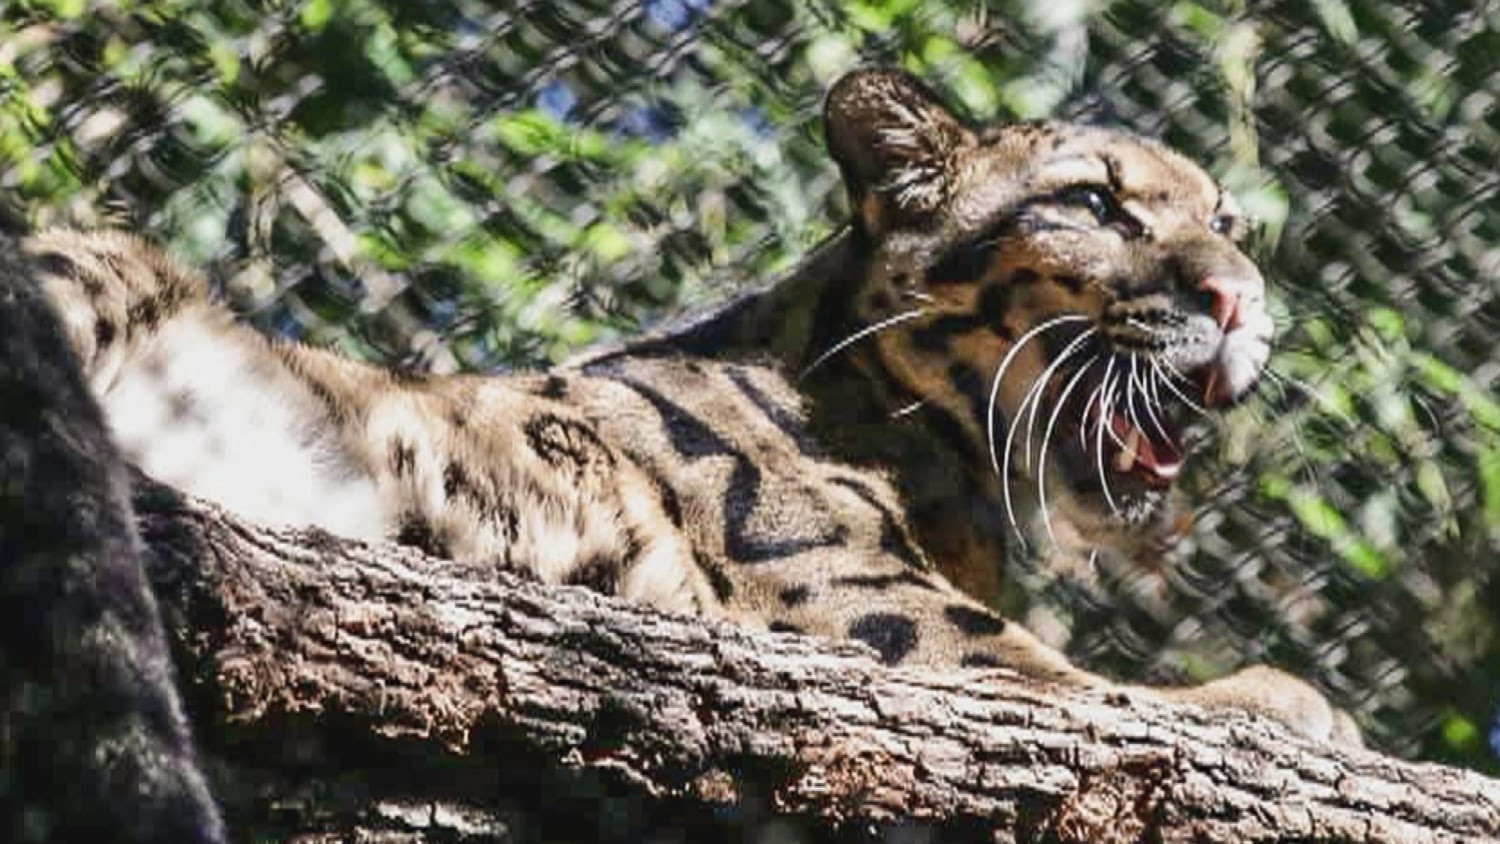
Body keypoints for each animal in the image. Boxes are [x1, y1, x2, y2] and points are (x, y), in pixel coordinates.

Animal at [20, 67, 1357, 745]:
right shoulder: (872, 612)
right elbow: (1081, 683)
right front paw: (1290, 701)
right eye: (1092, 203)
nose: (1242, 298)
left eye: (1229, 224)